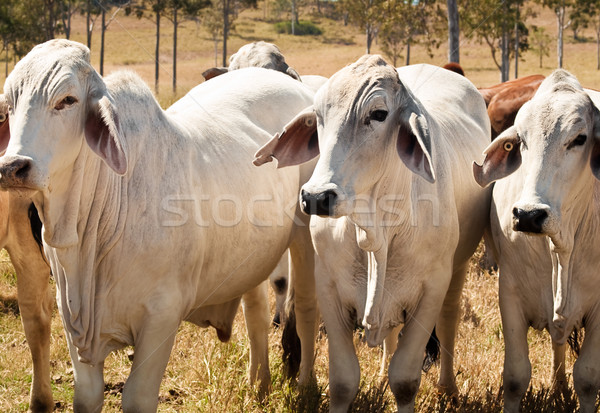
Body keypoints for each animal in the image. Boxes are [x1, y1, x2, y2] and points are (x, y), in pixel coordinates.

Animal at [0, 37, 318, 408]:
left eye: (68, 100)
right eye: (10, 104)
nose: (13, 167)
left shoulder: (161, 318)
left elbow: (138, 397)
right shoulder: (73, 319)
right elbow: (87, 397)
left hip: (306, 237)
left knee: (306, 307)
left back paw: (306, 386)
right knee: (256, 311)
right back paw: (259, 384)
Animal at [253, 55, 492, 412]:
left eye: (378, 114)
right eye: (319, 115)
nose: (315, 196)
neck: (374, 229)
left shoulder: (431, 292)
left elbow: (405, 380)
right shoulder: (329, 288)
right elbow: (343, 380)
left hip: (458, 267)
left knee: (450, 317)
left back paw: (447, 388)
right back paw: (379, 377)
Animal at [474, 69, 600, 410]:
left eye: (579, 139)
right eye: (521, 141)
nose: (529, 215)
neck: (561, 247)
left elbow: (587, 379)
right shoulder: (510, 294)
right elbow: (516, 377)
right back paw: (558, 387)